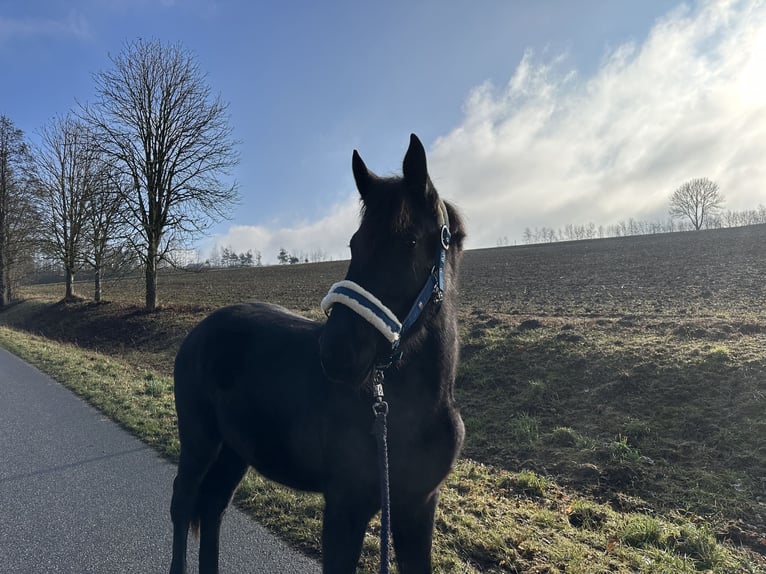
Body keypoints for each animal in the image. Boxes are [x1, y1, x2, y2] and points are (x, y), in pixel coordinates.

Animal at [170, 135, 464, 574]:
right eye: (354, 243)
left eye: (410, 240)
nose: (337, 351)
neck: (410, 411)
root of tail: (200, 331)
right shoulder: (345, 508)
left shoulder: (418, 508)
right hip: (199, 440)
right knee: (184, 502)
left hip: (234, 449)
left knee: (212, 506)